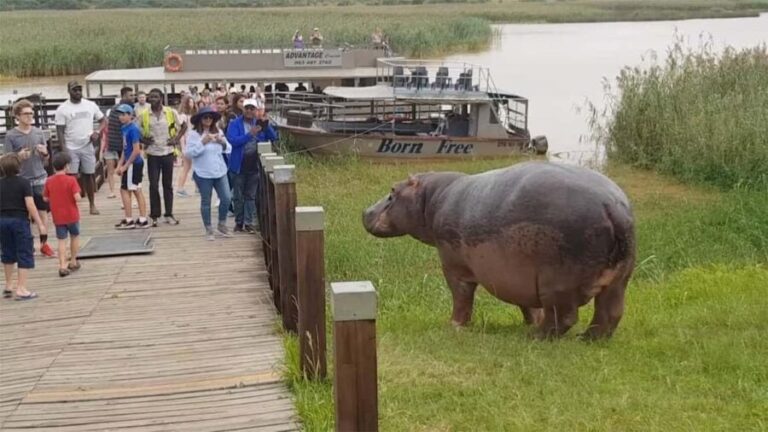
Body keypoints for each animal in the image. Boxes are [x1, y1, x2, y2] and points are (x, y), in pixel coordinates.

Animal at [362, 161, 635, 339]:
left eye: (392, 191)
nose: (365, 211)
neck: (432, 198)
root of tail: (612, 207)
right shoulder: (519, 278)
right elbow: (527, 305)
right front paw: (530, 322)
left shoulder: (454, 266)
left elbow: (461, 297)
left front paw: (454, 326)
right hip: (619, 280)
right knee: (610, 314)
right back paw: (587, 339)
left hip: (557, 283)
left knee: (565, 316)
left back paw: (536, 337)